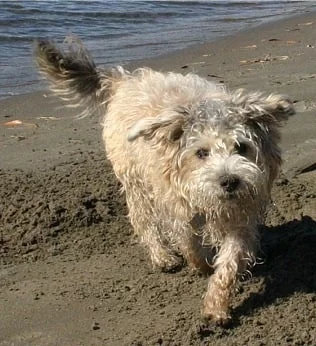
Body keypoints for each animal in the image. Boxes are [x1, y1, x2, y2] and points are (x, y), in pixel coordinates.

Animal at [34, 37, 294, 324]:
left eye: (241, 147)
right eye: (201, 153)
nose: (229, 181)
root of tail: (125, 80)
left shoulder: (239, 215)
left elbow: (230, 261)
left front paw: (216, 305)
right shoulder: (176, 206)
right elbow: (188, 241)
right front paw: (200, 265)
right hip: (134, 179)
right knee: (143, 220)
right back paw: (162, 256)